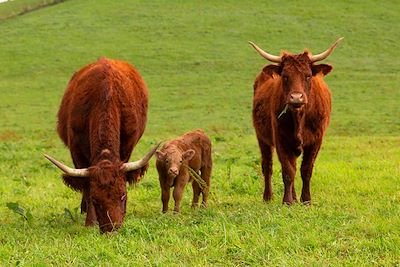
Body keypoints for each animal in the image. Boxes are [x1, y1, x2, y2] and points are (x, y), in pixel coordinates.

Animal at [45, 57, 158, 233]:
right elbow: (86, 185)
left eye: (123, 195)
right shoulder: (76, 151)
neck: (105, 96)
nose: (112, 229)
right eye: (96, 199)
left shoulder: (127, 148)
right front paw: (90, 221)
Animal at [252, 37, 342, 205]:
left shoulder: (316, 140)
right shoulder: (281, 139)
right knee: (267, 166)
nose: (296, 98)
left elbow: (306, 169)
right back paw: (268, 197)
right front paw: (287, 201)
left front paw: (306, 200)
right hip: (262, 138)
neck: (299, 116)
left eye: (308, 76)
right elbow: (288, 171)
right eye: (285, 76)